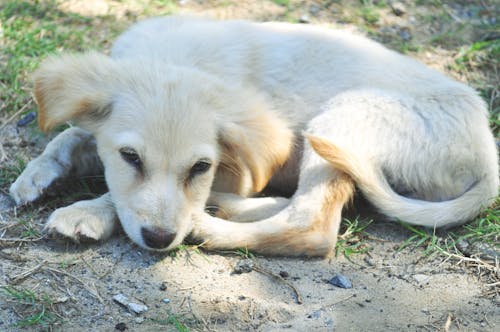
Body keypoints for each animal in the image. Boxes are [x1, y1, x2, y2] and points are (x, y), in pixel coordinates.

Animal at [9, 16, 498, 256]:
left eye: (200, 166)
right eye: (130, 157)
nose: (161, 240)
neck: (171, 59)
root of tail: (486, 150)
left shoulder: (237, 167)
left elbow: (121, 193)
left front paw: (87, 212)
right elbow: (72, 135)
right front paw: (39, 172)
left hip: (341, 120)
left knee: (311, 225)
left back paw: (211, 224)